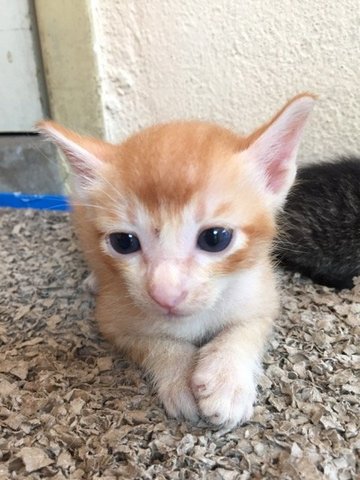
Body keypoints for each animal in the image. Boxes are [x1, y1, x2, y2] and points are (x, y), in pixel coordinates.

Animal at [39, 93, 314, 428]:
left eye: (215, 238)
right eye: (123, 242)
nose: (165, 294)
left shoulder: (262, 295)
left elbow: (245, 329)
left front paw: (227, 379)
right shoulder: (112, 320)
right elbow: (158, 344)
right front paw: (180, 377)